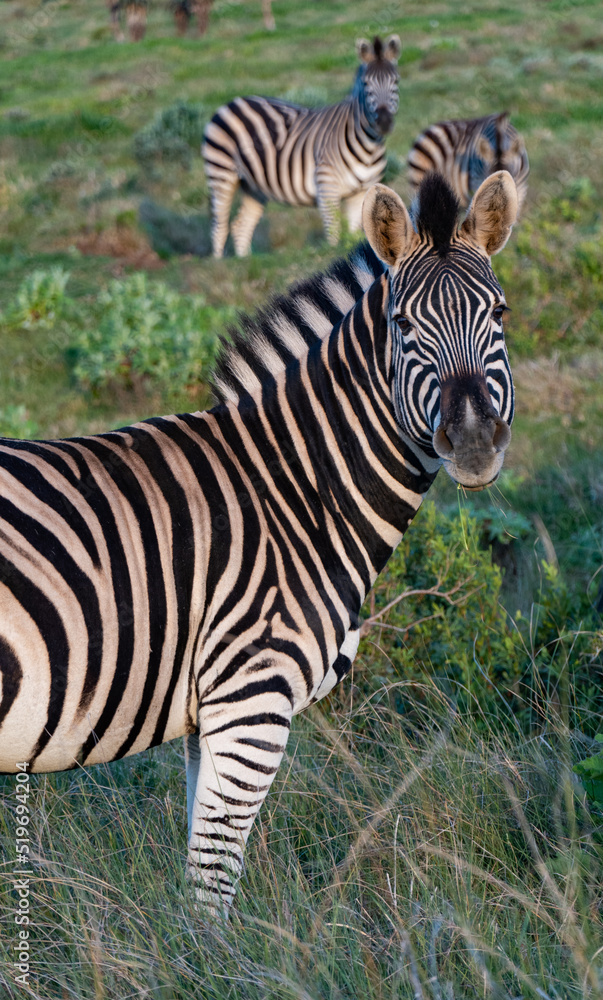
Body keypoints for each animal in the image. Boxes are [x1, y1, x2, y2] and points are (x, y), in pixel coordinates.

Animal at [0, 171, 518, 914]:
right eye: (402, 325)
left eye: (499, 314)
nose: (474, 444)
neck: (293, 490)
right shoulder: (252, 698)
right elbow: (211, 892)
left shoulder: (208, 718)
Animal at [202, 35, 401, 257]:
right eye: (366, 84)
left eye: (396, 81)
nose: (384, 122)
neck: (369, 146)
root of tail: (232, 102)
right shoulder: (326, 186)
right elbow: (333, 231)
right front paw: (332, 254)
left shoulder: (362, 191)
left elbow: (355, 232)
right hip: (221, 173)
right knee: (219, 225)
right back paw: (220, 261)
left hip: (253, 185)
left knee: (240, 225)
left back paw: (244, 260)